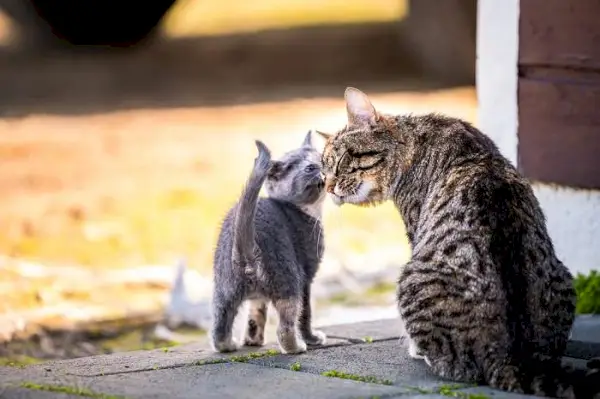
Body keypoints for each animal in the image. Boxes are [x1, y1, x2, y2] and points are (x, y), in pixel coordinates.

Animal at [211, 133, 328, 354]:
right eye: (309, 168)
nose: (323, 168)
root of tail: (245, 251)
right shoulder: (307, 277)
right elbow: (306, 314)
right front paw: (312, 338)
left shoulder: (257, 298)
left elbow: (255, 314)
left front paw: (252, 340)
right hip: (289, 280)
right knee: (286, 326)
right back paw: (296, 346)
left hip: (223, 288)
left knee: (219, 324)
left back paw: (228, 345)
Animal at [316, 87, 596, 399]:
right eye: (323, 172)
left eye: (340, 163)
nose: (328, 187)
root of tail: (510, 357)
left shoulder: (415, 229)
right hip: (563, 280)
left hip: (409, 279)